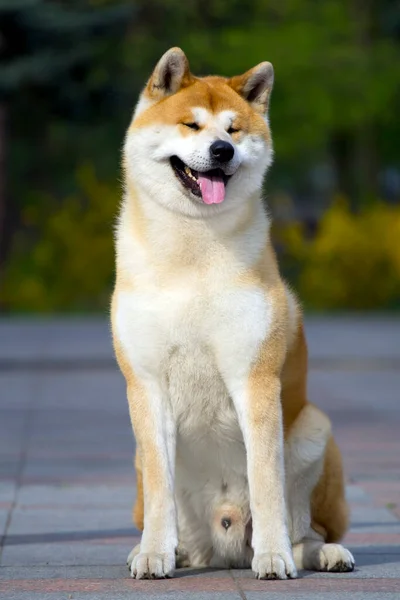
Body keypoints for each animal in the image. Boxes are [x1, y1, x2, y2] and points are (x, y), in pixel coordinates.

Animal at [111, 48, 354, 580]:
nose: (221, 151)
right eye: (191, 124)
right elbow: (160, 490)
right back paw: (162, 551)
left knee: (308, 530)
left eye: (234, 129)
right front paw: (155, 553)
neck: (193, 250)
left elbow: (265, 482)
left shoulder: (254, 378)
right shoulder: (147, 384)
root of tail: (222, 547)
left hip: (314, 430)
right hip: (139, 459)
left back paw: (318, 553)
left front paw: (273, 556)